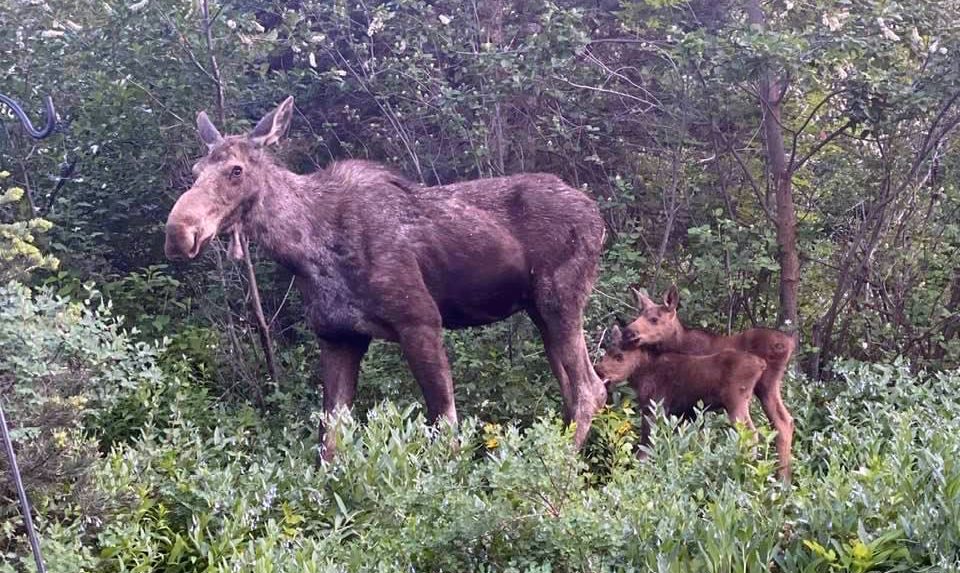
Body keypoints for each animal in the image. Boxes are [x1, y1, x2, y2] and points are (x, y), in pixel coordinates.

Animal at [161, 96, 604, 458]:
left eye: (235, 170)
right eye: (197, 169)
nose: (178, 232)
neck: (307, 254)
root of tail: (597, 218)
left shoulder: (420, 320)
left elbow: (446, 425)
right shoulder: (338, 335)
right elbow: (330, 441)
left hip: (560, 298)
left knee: (590, 389)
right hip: (539, 310)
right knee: (576, 387)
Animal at [592, 326, 764, 460]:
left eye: (619, 356)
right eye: (606, 352)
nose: (598, 370)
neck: (642, 374)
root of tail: (761, 365)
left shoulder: (656, 404)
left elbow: (648, 439)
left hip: (736, 400)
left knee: (751, 433)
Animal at [624, 286, 796, 478]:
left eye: (654, 319)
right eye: (638, 314)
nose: (629, 331)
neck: (677, 342)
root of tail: (790, 343)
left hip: (760, 387)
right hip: (768, 388)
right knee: (784, 422)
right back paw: (782, 478)